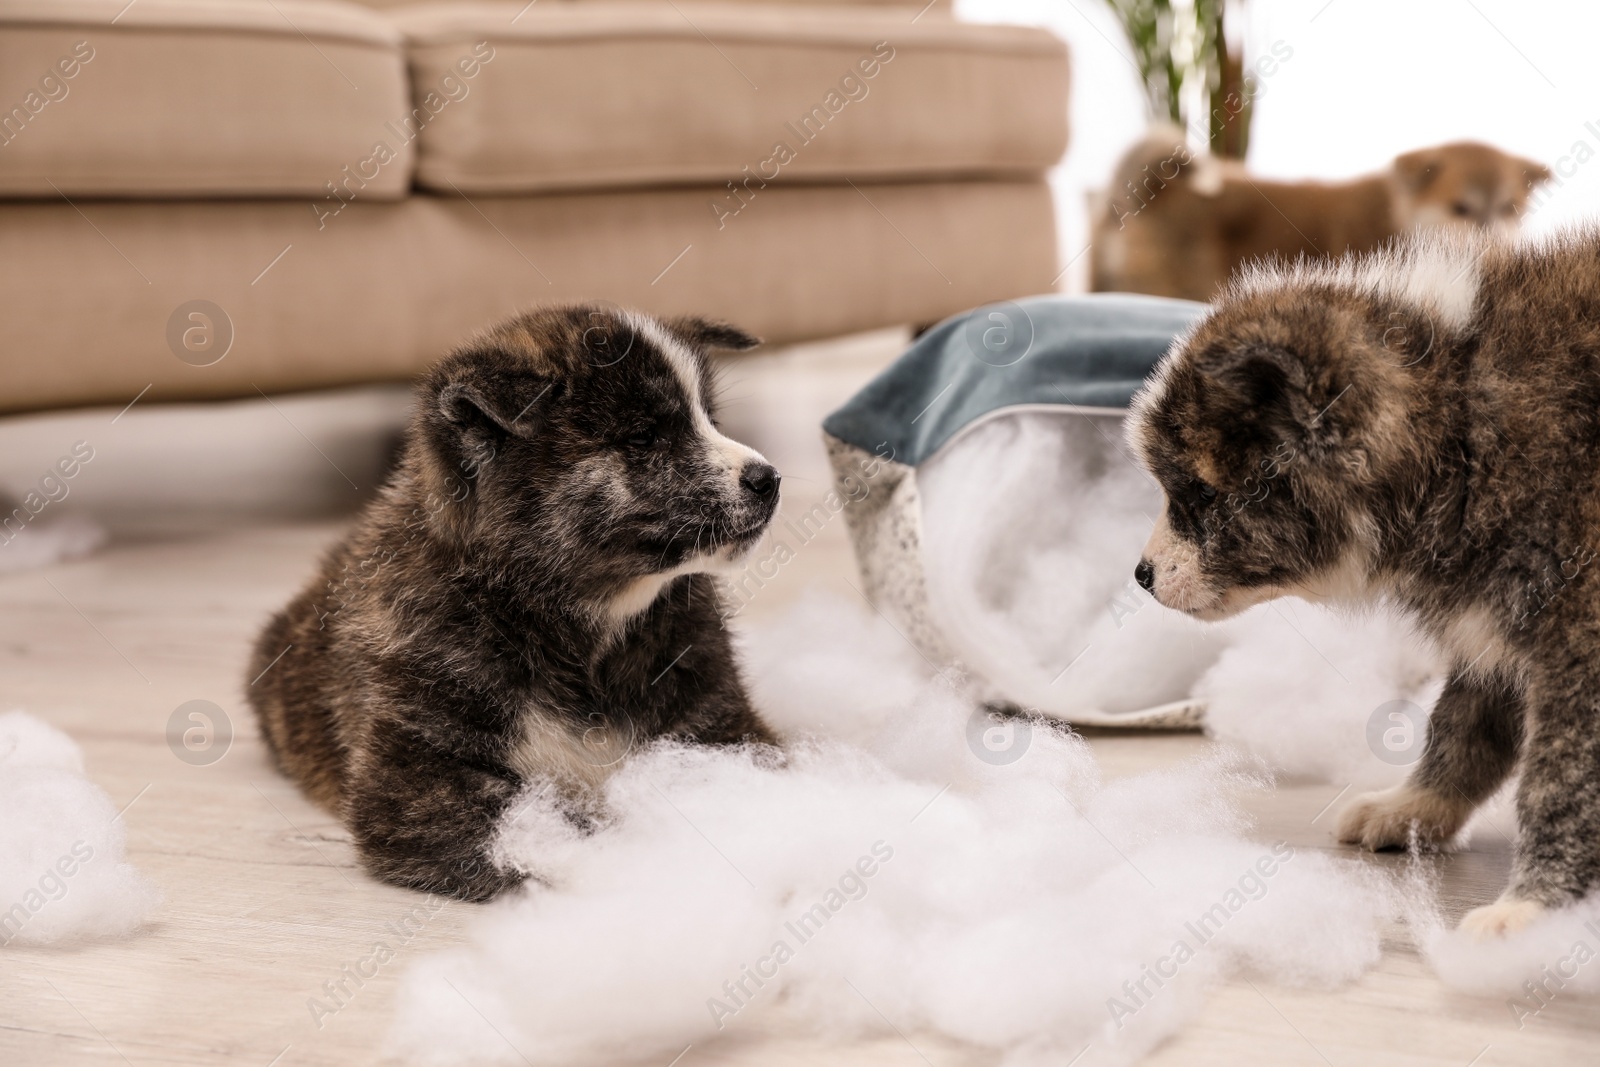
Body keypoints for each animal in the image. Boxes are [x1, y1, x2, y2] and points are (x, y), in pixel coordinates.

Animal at [241, 302, 780, 902]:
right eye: (643, 438)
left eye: (712, 421)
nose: (769, 479)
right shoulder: (416, 780)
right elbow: (546, 835)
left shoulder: (720, 728)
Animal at [1126, 230, 1600, 940]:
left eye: (1202, 495)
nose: (1143, 576)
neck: (1459, 433)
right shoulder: (1490, 619)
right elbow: (1462, 726)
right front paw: (1416, 807)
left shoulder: (1581, 647)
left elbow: (1563, 782)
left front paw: (1534, 911)